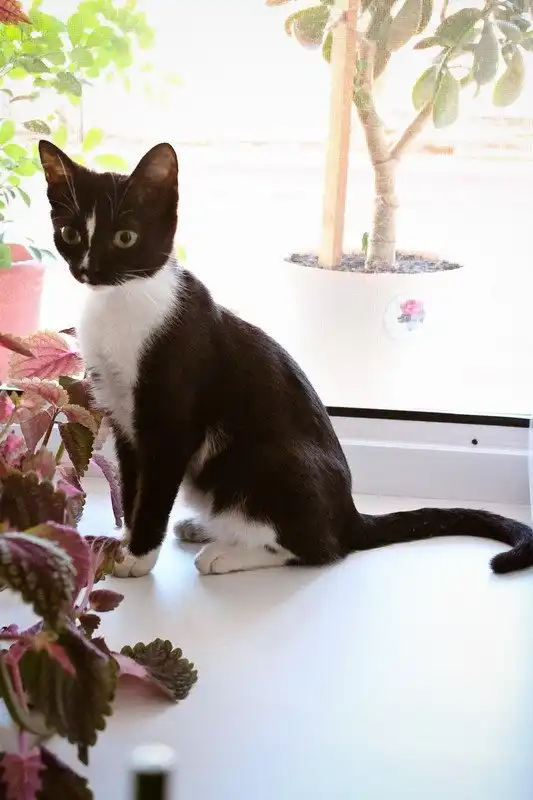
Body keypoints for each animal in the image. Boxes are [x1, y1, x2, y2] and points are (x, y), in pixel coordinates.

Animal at [39, 139, 533, 579]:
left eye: (125, 237)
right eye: (71, 234)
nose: (89, 270)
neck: (123, 302)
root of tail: (350, 514)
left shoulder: (173, 421)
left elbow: (155, 491)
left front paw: (138, 557)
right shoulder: (124, 419)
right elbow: (134, 486)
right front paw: (125, 545)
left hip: (268, 461)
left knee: (321, 547)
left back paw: (227, 553)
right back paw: (206, 528)